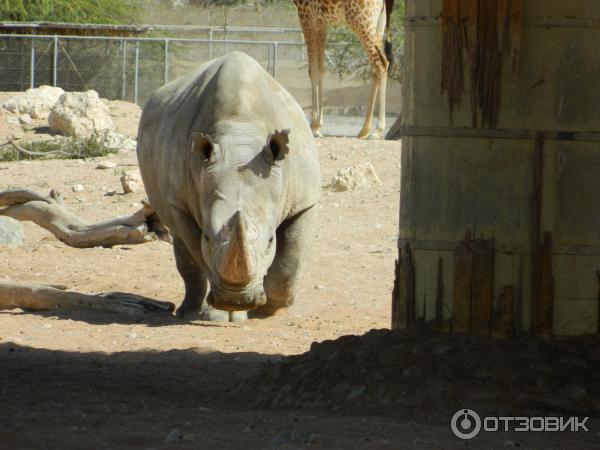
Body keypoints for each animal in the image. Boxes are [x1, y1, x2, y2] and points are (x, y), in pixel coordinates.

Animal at [294, 0, 396, 139]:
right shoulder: (321, 24)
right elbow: (321, 69)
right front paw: (318, 126)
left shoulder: (306, 17)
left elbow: (313, 70)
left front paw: (314, 126)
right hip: (379, 25)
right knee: (377, 66)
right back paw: (364, 130)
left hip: (362, 22)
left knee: (381, 63)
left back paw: (377, 130)